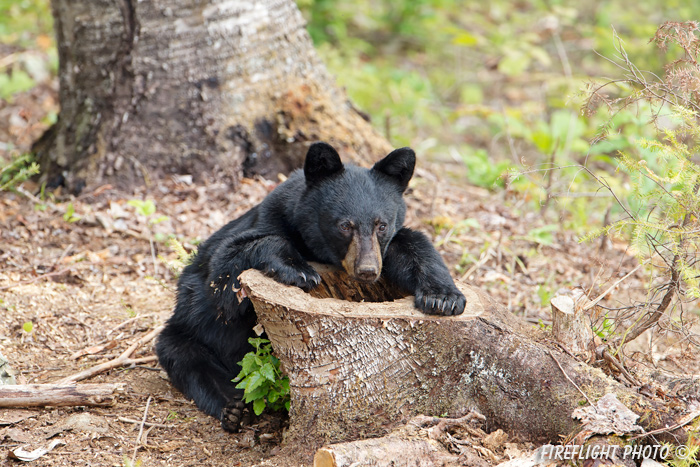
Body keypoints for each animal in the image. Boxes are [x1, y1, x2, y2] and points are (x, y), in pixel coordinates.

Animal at [156, 142, 468, 432]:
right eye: (344, 225)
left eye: (381, 225)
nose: (367, 271)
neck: (317, 249)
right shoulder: (262, 224)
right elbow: (223, 275)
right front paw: (299, 271)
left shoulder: (386, 247)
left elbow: (414, 245)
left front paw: (443, 298)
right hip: (186, 331)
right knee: (189, 361)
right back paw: (233, 409)